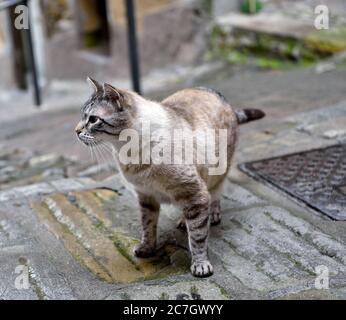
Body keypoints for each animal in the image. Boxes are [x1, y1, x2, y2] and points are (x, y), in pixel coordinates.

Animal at [75, 77, 264, 278]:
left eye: (93, 119)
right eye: (82, 117)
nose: (76, 131)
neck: (128, 151)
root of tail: (213, 91)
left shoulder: (194, 192)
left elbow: (197, 237)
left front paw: (200, 264)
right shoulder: (146, 196)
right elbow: (148, 226)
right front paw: (147, 248)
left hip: (216, 174)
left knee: (214, 196)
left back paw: (211, 214)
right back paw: (183, 220)